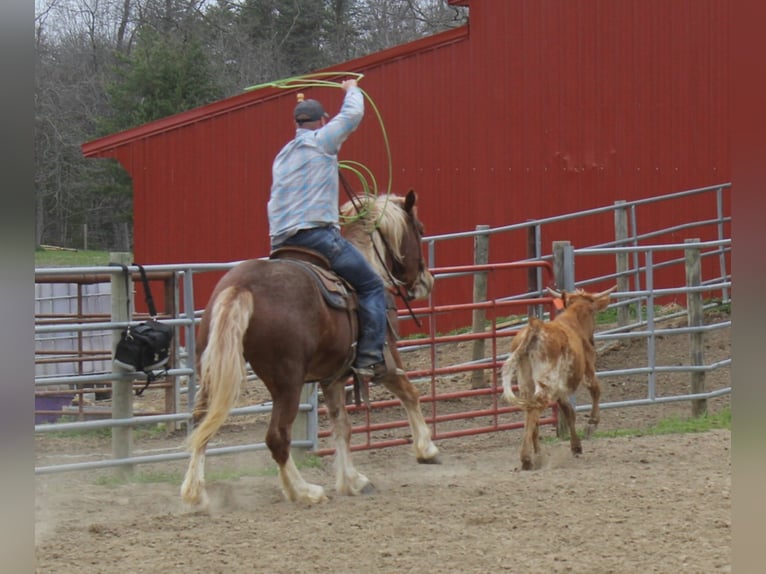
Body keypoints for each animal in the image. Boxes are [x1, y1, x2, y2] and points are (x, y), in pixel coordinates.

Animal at [181, 190, 440, 508]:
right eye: (421, 230)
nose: (427, 281)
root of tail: (242, 286)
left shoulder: (334, 378)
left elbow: (343, 426)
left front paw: (352, 480)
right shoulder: (386, 359)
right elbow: (410, 393)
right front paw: (426, 449)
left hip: (211, 371)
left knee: (202, 422)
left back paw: (195, 492)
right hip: (287, 381)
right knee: (277, 437)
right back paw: (303, 490)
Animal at [504, 286, 616, 470]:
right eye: (593, 312)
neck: (574, 320)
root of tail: (534, 329)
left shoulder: (561, 388)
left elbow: (569, 412)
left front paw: (576, 445)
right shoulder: (588, 369)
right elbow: (595, 390)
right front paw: (592, 424)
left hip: (526, 383)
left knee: (529, 411)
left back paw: (538, 455)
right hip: (545, 383)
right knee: (535, 409)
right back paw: (527, 458)